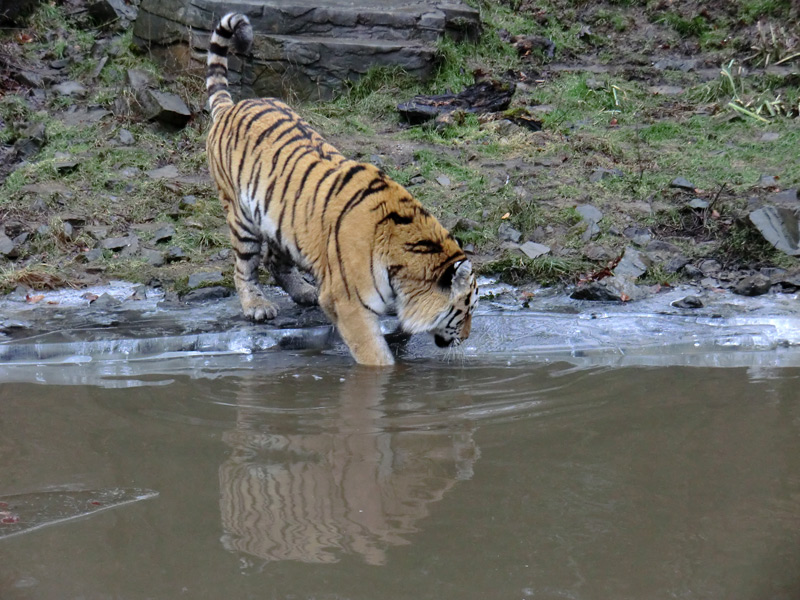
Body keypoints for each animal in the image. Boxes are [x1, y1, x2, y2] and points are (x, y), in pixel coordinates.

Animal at [206, 10, 478, 366]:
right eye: (465, 310)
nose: (466, 337)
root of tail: (232, 106)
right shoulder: (348, 301)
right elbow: (373, 353)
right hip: (241, 217)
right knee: (244, 267)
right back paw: (257, 306)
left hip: (282, 220)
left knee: (275, 260)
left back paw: (305, 292)